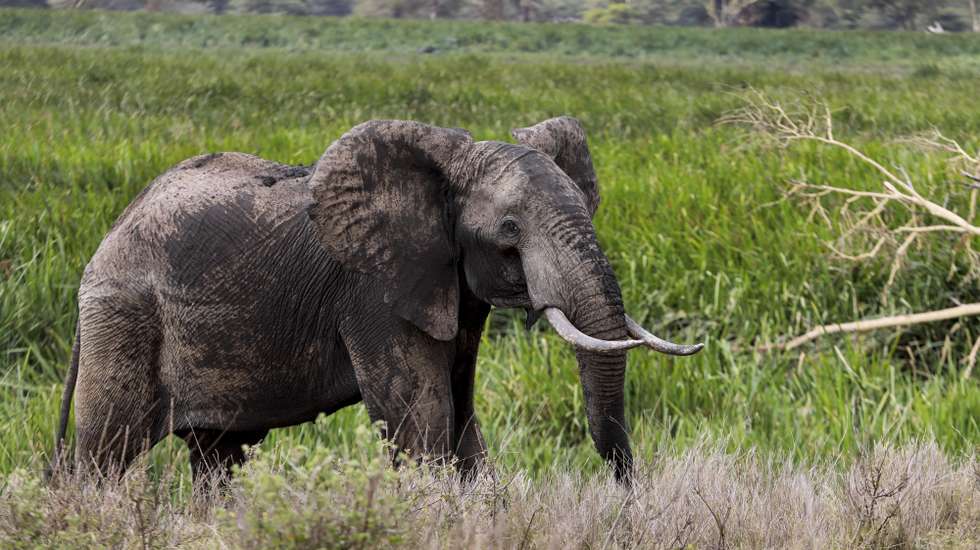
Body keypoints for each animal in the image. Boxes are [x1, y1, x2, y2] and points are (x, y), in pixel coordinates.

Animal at [51, 117, 702, 485]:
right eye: (510, 230)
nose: (626, 489)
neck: (439, 175)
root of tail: (108, 236)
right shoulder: (373, 292)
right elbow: (421, 419)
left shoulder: (448, 283)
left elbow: (460, 418)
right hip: (124, 314)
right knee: (107, 452)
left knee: (218, 457)